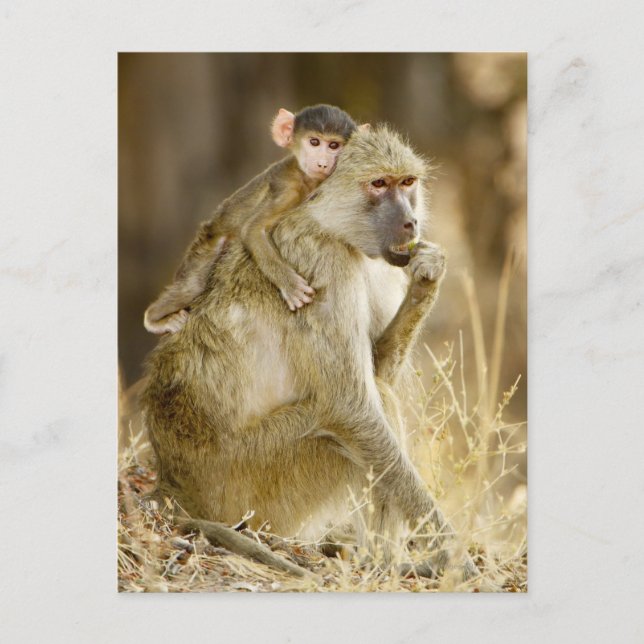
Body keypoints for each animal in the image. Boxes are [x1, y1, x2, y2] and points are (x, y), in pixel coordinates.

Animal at [143, 104, 361, 335]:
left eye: (334, 145)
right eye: (314, 142)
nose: (322, 163)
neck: (305, 178)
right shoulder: (287, 188)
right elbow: (252, 229)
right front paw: (291, 286)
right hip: (205, 246)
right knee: (192, 285)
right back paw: (154, 319)